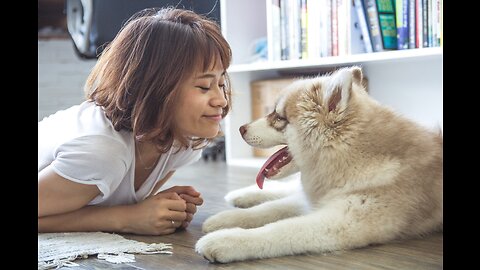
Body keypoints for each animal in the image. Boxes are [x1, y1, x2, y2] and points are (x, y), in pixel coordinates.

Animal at [195, 66, 442, 262]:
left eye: (279, 118)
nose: (240, 129)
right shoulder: (319, 200)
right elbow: (268, 209)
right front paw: (225, 219)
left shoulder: (342, 220)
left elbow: (281, 229)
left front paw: (226, 240)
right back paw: (240, 195)